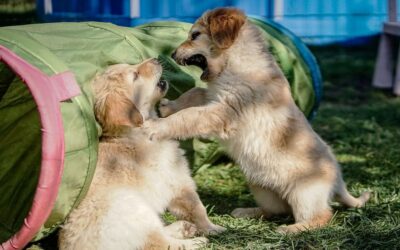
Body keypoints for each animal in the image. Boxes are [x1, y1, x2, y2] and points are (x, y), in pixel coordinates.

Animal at [58, 59, 225, 250]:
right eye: (135, 75)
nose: (156, 59)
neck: (139, 131)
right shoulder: (178, 181)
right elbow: (198, 208)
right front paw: (214, 229)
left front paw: (209, 227)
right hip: (135, 207)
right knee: (159, 242)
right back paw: (196, 241)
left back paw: (183, 228)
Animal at [145, 8, 372, 234]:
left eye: (195, 35)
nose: (172, 55)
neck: (234, 64)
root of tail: (338, 179)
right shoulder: (213, 97)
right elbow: (194, 93)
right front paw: (168, 106)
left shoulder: (223, 111)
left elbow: (189, 115)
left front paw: (157, 126)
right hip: (261, 187)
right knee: (277, 210)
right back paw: (247, 212)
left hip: (305, 193)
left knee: (321, 216)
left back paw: (291, 229)